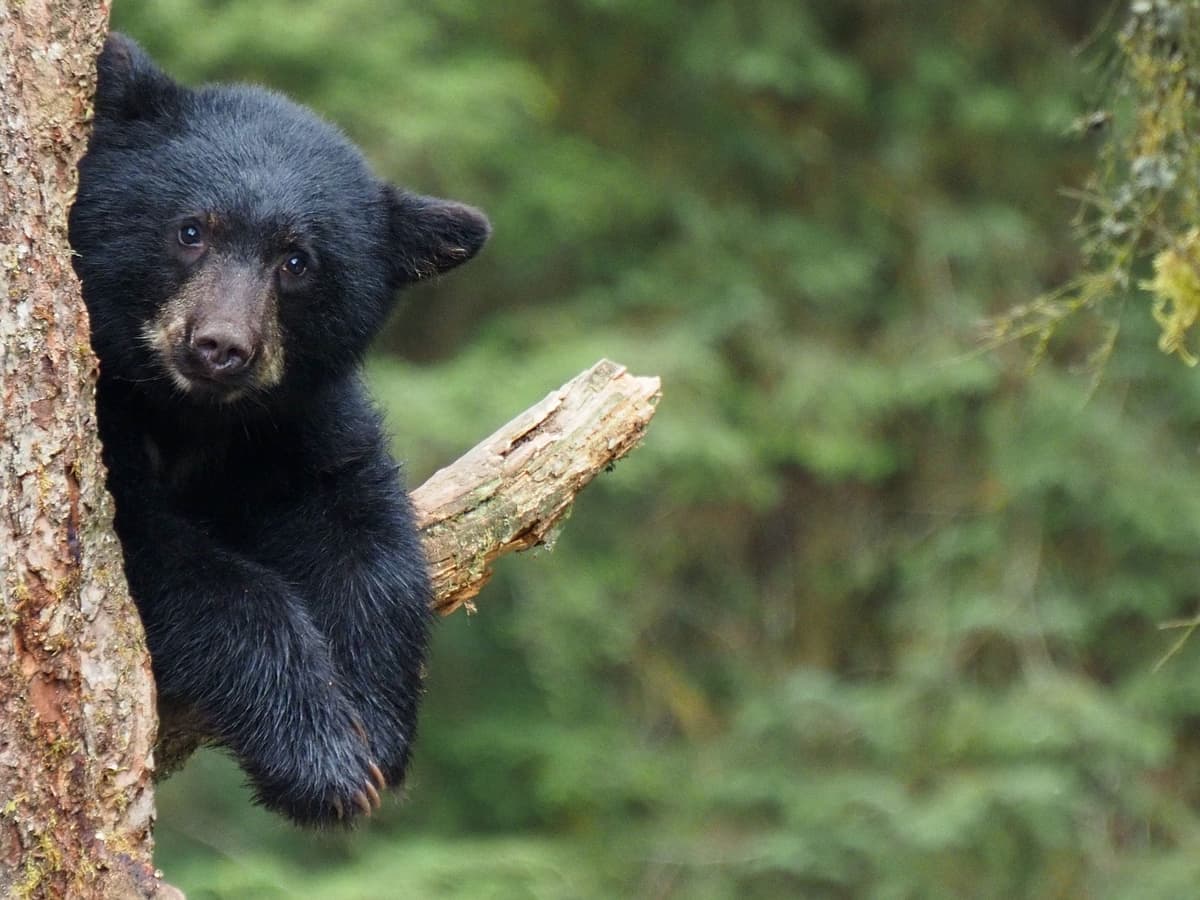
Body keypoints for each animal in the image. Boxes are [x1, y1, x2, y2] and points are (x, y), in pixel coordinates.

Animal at [68, 33, 489, 827]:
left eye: (297, 262)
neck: (191, 415)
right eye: (192, 230)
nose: (219, 347)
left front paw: (377, 723)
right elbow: (182, 564)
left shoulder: (296, 420)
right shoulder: (107, 423)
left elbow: (359, 525)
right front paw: (322, 759)